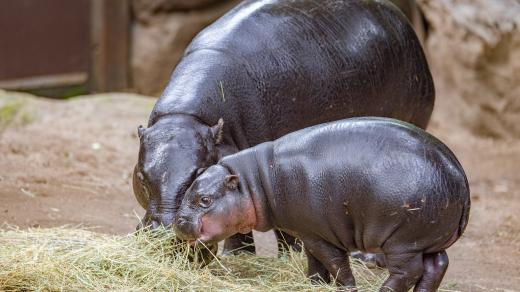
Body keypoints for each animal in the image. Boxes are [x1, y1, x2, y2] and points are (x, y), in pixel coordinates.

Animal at [134, 0, 434, 253]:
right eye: (141, 175)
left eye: (198, 173)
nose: (165, 232)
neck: (186, 117)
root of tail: (398, 16)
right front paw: (237, 256)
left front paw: (289, 255)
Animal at [175, 117, 472, 292]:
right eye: (189, 189)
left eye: (205, 200)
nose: (178, 221)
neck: (254, 181)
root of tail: (459, 176)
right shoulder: (308, 232)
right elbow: (314, 261)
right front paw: (314, 283)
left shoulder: (320, 234)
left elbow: (334, 262)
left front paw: (347, 287)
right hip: (426, 238)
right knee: (436, 266)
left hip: (402, 240)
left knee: (408, 272)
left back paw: (384, 290)